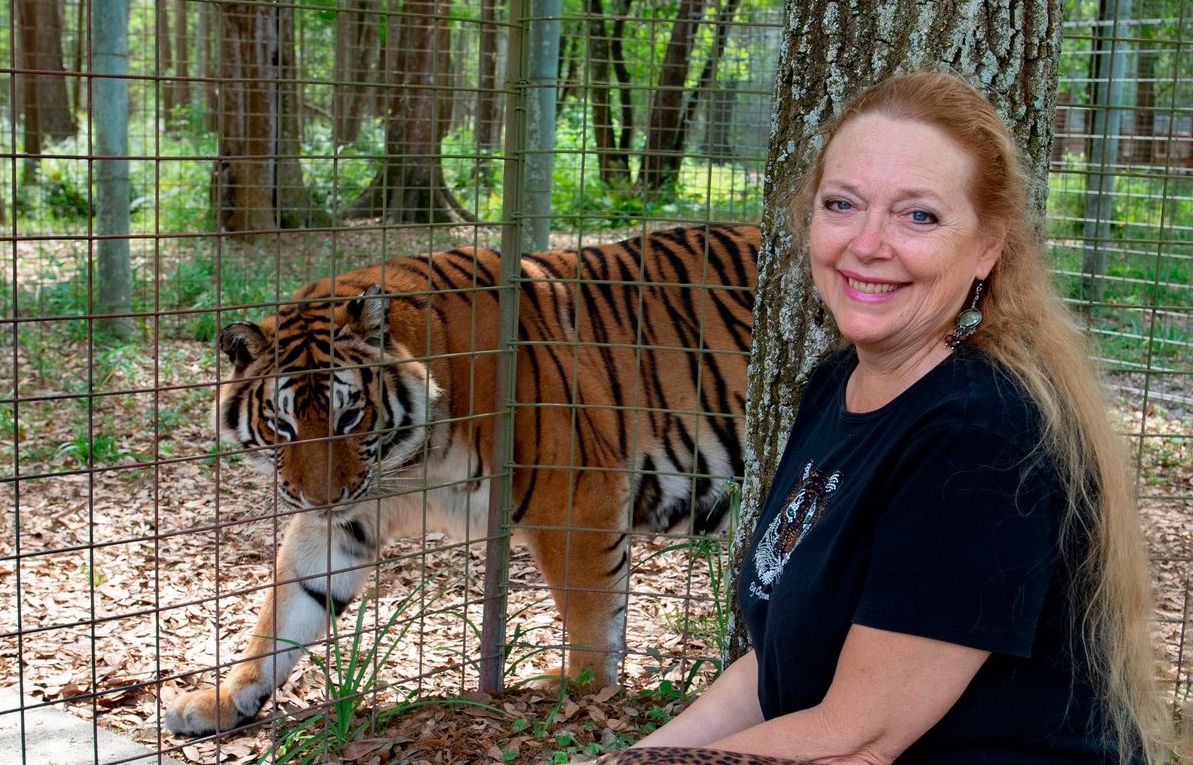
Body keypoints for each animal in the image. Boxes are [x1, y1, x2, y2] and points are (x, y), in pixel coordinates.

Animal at [163, 221, 758, 735]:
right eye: (282, 425)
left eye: (348, 415)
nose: (321, 498)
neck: (410, 460)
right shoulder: (350, 516)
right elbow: (287, 607)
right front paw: (222, 698)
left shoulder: (577, 493)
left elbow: (591, 611)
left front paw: (583, 691)